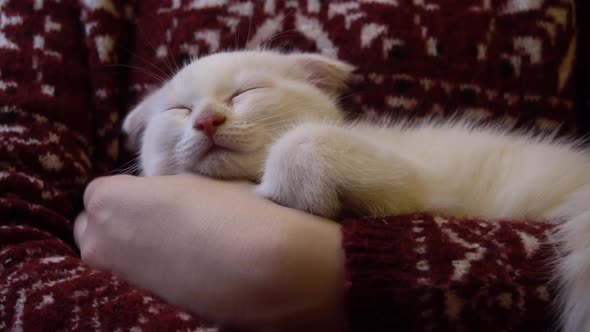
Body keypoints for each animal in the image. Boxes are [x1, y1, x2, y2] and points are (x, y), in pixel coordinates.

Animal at [122, 49, 590, 332]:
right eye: (179, 110)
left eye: (246, 92)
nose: (205, 120)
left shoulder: (417, 181)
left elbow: (302, 141)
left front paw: (296, 189)